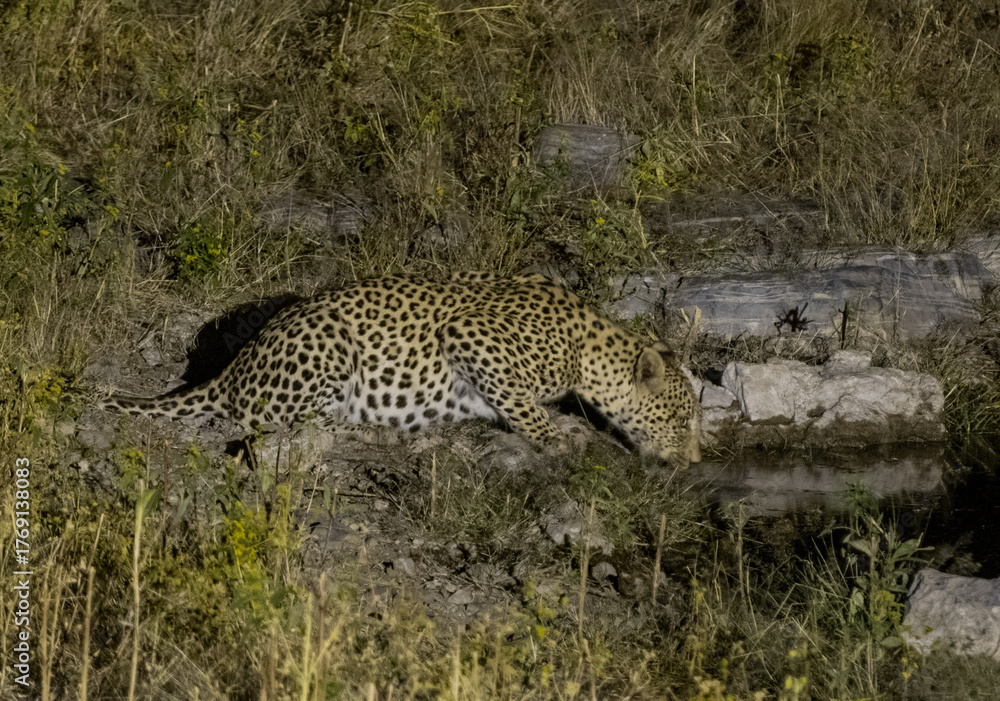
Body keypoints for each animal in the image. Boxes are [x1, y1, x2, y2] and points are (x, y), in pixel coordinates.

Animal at [101, 273, 702, 466]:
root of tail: (232, 367)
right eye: (682, 419)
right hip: (331, 345)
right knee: (299, 423)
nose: (695, 461)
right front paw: (555, 437)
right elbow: (522, 403)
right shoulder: (470, 335)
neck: (589, 350)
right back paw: (378, 429)